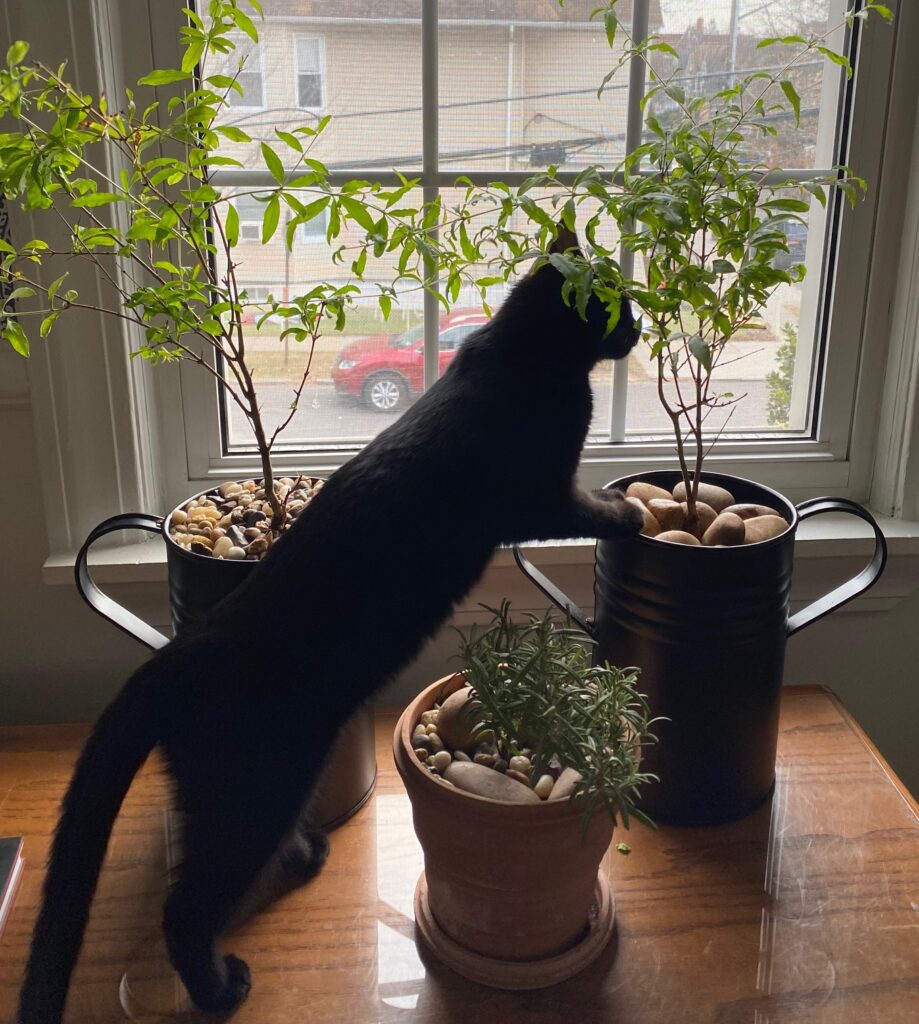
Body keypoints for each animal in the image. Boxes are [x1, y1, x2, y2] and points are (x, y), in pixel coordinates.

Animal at [19, 230, 639, 1024]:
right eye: (618, 306)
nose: (640, 330)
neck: (522, 349)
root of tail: (172, 657)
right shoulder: (537, 495)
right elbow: (587, 507)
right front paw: (628, 512)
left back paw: (307, 855)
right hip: (254, 786)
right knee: (185, 909)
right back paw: (220, 989)